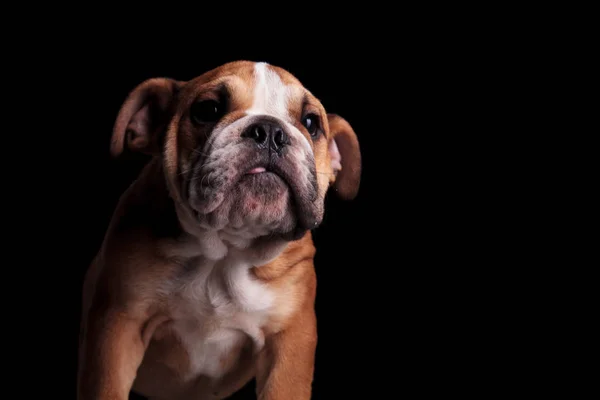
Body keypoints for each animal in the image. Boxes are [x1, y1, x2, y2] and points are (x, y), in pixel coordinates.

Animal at [78, 60, 360, 400]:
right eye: (208, 109)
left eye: (311, 122)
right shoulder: (119, 326)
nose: (270, 131)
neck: (226, 250)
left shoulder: (289, 343)